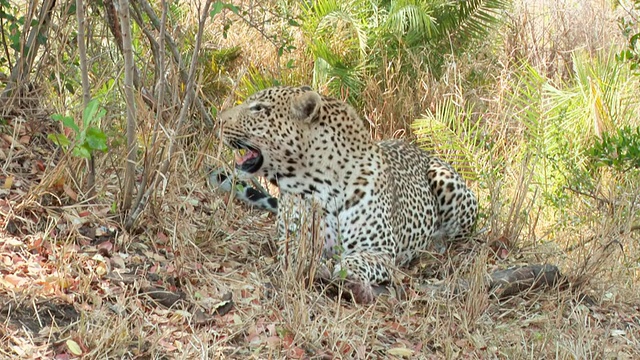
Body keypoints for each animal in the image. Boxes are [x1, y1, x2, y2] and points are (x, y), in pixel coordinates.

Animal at [218, 86, 478, 302]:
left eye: (258, 108)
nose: (218, 121)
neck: (316, 186)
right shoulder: (291, 238)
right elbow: (296, 255)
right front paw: (316, 265)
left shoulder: (381, 252)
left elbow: (357, 260)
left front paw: (348, 275)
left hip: (446, 180)